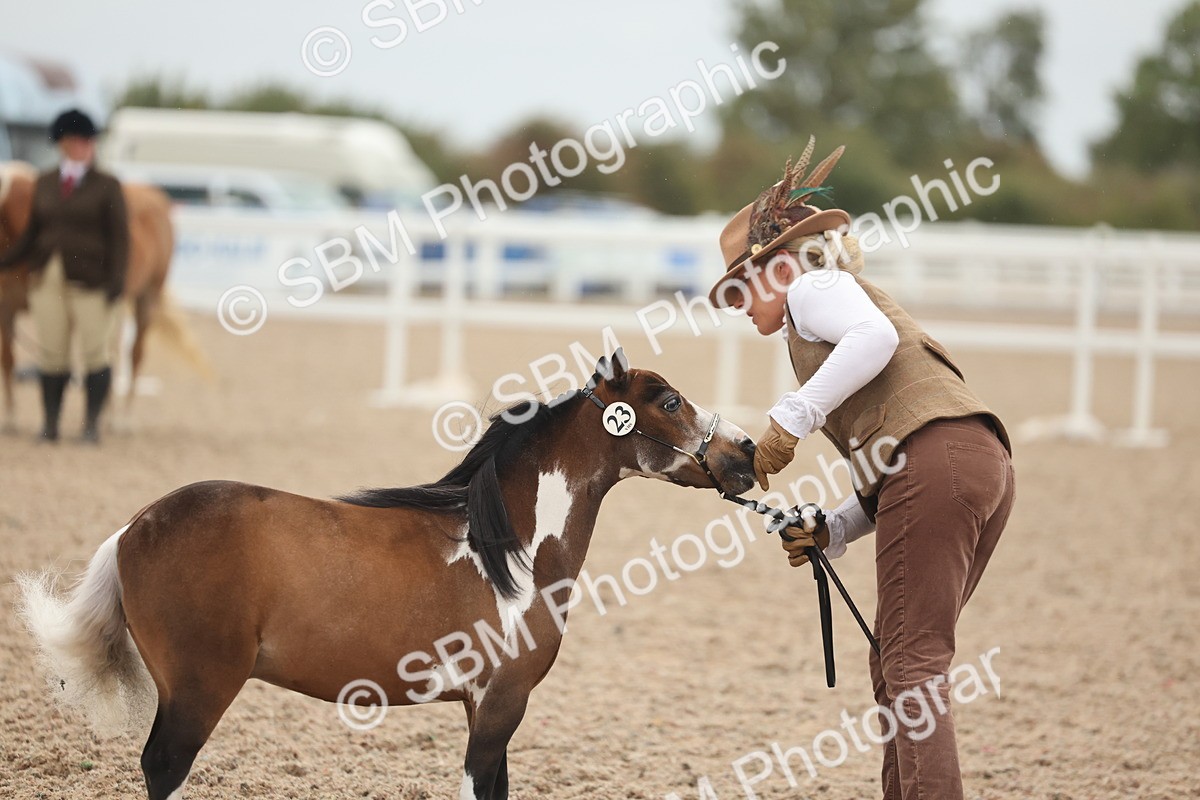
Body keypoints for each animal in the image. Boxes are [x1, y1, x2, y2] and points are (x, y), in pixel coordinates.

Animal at [17, 350, 757, 800]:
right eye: (668, 402)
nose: (746, 452)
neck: (508, 549)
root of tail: (136, 526)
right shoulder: (501, 702)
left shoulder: (484, 704)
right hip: (199, 690)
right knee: (163, 769)